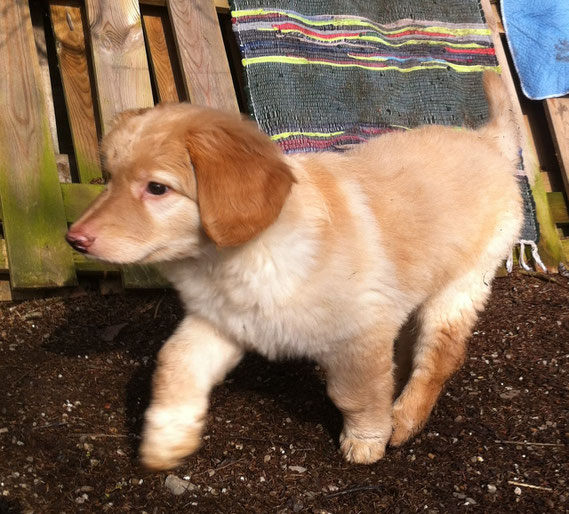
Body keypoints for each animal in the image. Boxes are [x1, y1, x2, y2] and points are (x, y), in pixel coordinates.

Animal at [65, 72, 520, 468]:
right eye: (109, 179)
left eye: (157, 189)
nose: (74, 239)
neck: (235, 257)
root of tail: (487, 140)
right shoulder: (222, 321)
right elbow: (175, 361)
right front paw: (166, 439)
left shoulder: (358, 336)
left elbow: (356, 395)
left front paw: (367, 439)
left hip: (462, 284)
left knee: (442, 354)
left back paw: (405, 418)